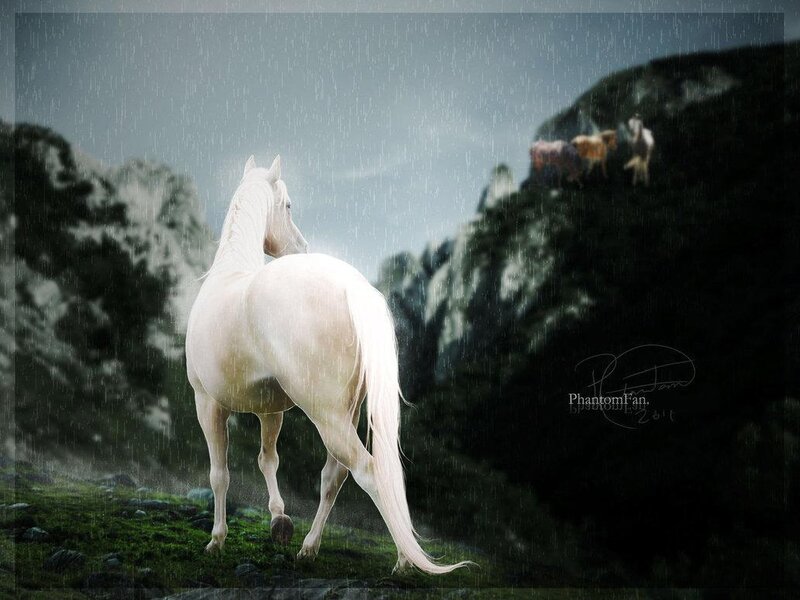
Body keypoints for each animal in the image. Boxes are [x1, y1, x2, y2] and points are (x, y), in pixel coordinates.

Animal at [185, 155, 472, 575]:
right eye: (288, 206)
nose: (300, 247)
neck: (228, 276)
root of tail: (351, 287)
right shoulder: (270, 410)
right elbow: (267, 460)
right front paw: (279, 520)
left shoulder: (207, 403)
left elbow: (219, 474)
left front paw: (216, 540)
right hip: (345, 413)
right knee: (335, 475)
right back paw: (309, 548)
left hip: (328, 416)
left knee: (367, 473)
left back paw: (404, 560)